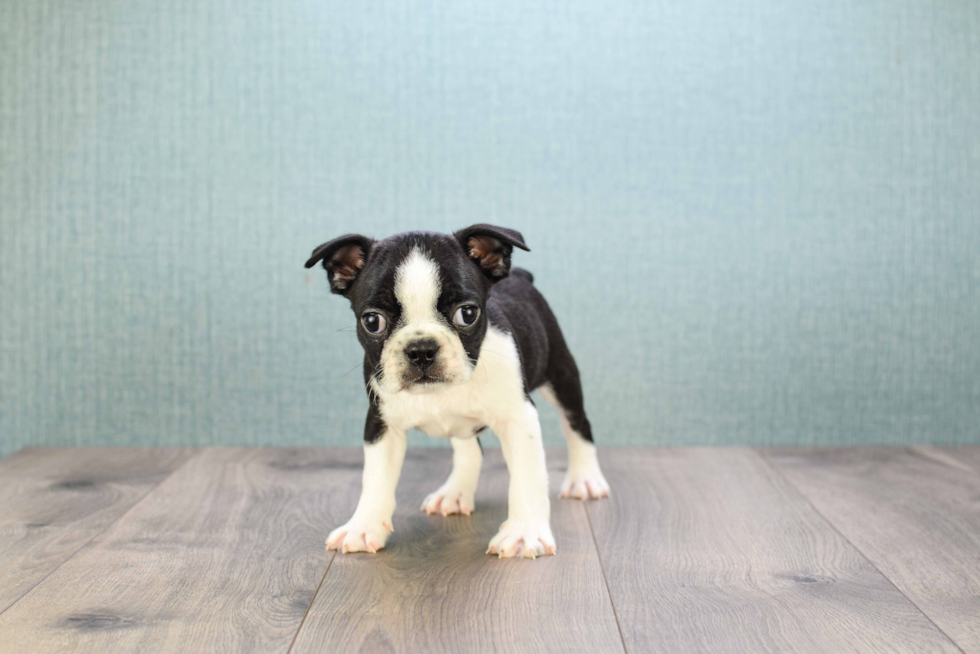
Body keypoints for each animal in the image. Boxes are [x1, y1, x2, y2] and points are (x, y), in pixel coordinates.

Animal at [302, 226, 608, 560]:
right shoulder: (381, 423)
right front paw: (362, 527)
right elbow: (375, 478)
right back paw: (454, 492)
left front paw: (524, 533)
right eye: (372, 321)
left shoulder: (519, 418)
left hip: (561, 372)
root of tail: (520, 276)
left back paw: (584, 479)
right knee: (469, 449)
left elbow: (527, 477)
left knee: (577, 424)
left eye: (468, 314)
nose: (421, 349)